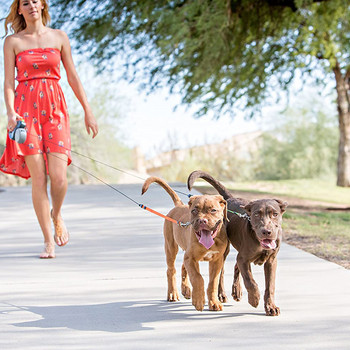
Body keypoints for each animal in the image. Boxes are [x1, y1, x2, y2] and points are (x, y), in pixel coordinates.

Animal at [141, 176, 228, 310]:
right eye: (194, 211)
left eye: (213, 210)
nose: (202, 221)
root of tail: (179, 205)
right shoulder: (191, 258)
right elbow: (198, 278)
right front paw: (198, 300)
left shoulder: (216, 260)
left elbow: (213, 282)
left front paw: (213, 302)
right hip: (171, 247)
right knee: (171, 270)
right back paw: (173, 293)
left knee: (183, 266)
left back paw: (186, 289)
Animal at [187, 171, 288, 316]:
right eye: (256, 214)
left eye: (275, 214)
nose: (266, 232)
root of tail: (230, 198)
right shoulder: (244, 259)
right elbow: (250, 281)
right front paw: (254, 299)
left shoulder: (271, 261)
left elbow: (270, 286)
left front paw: (271, 307)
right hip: (225, 250)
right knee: (222, 272)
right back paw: (222, 294)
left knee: (235, 266)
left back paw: (236, 291)